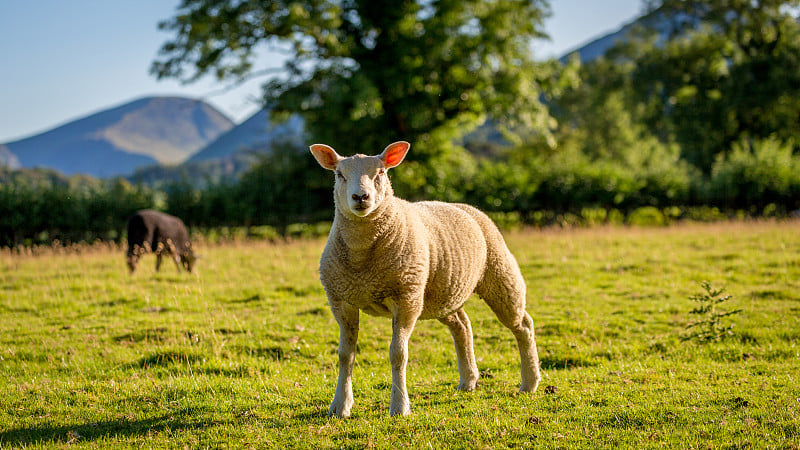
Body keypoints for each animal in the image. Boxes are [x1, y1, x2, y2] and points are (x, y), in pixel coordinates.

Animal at [310, 142, 540, 418]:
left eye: (381, 173)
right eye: (339, 175)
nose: (360, 197)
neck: (362, 261)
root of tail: (466, 207)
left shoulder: (406, 298)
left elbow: (398, 354)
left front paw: (399, 406)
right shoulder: (341, 299)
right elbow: (345, 354)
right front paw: (340, 406)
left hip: (500, 276)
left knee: (523, 325)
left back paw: (529, 382)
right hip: (442, 295)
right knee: (462, 326)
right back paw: (468, 380)